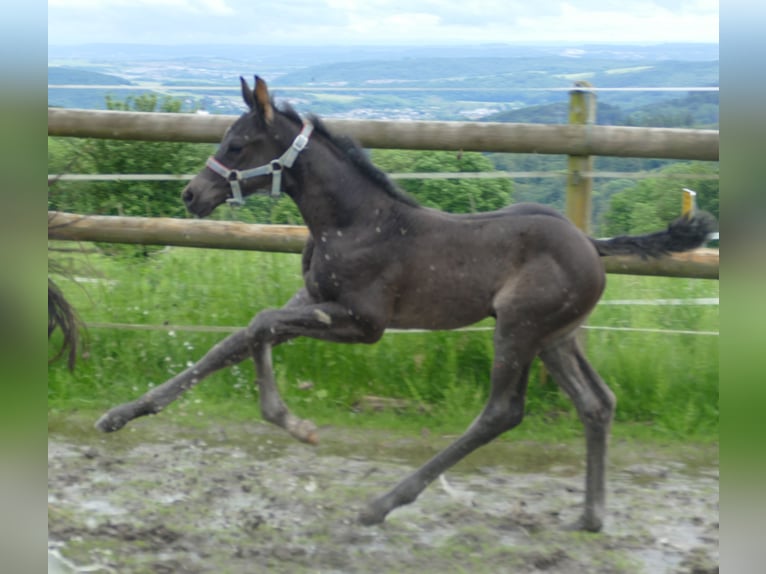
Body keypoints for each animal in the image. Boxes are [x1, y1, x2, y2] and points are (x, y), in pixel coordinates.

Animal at [97, 76, 720, 536]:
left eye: (236, 144)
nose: (192, 194)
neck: (354, 222)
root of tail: (592, 244)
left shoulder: (364, 323)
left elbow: (259, 325)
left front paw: (294, 424)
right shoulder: (314, 302)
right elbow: (234, 341)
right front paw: (120, 414)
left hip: (519, 329)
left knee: (502, 412)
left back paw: (382, 503)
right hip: (556, 338)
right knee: (597, 403)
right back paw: (590, 515)